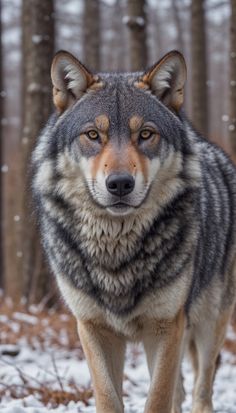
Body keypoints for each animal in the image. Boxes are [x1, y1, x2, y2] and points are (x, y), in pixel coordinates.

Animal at [32, 49, 236, 412]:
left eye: (145, 134)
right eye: (93, 135)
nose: (120, 184)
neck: (116, 250)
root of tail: (214, 149)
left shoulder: (166, 326)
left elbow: (157, 398)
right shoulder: (93, 328)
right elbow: (109, 397)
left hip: (211, 321)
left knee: (201, 387)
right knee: (181, 390)